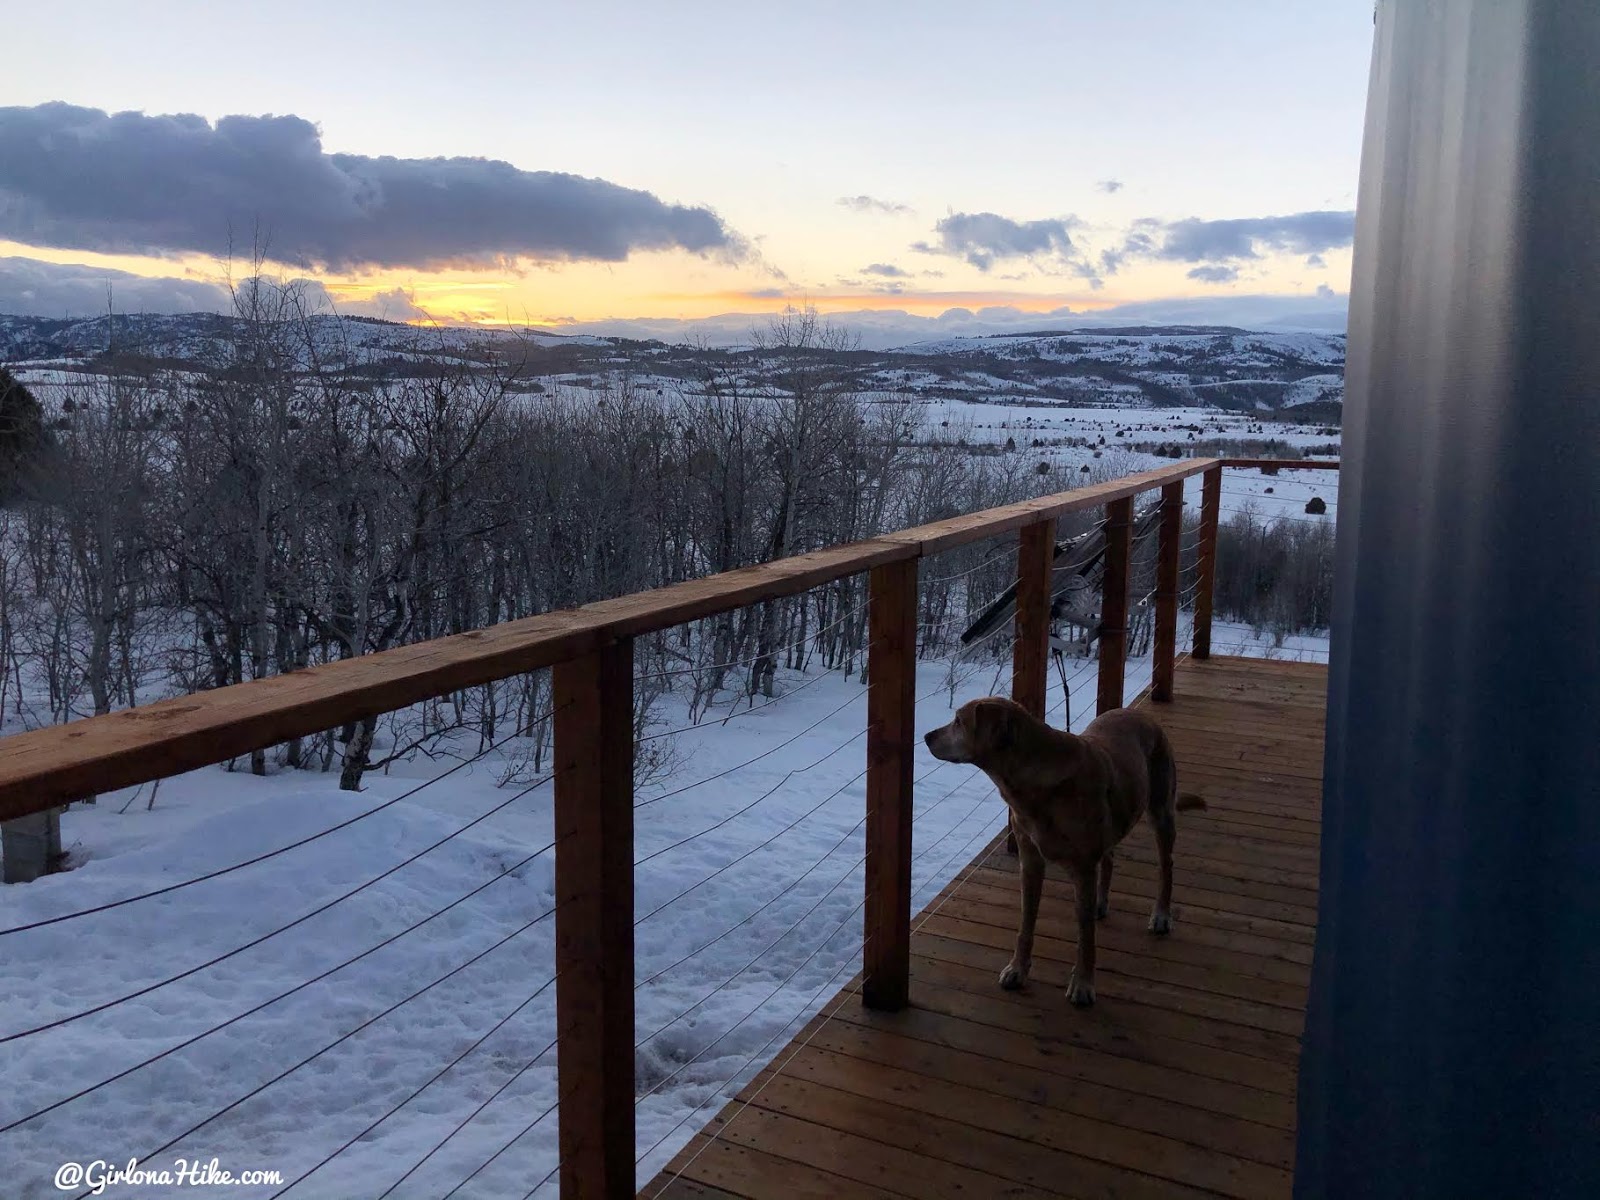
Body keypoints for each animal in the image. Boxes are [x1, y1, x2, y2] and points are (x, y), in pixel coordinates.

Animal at [921, 700, 1203, 1011]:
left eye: (959, 721)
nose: (926, 736)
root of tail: (1140, 715)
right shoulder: (1030, 861)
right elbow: (1026, 923)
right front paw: (1017, 969)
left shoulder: (1082, 868)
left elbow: (1086, 935)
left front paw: (1083, 984)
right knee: (1109, 858)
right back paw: (1100, 902)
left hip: (1160, 810)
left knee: (1166, 865)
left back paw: (1161, 915)